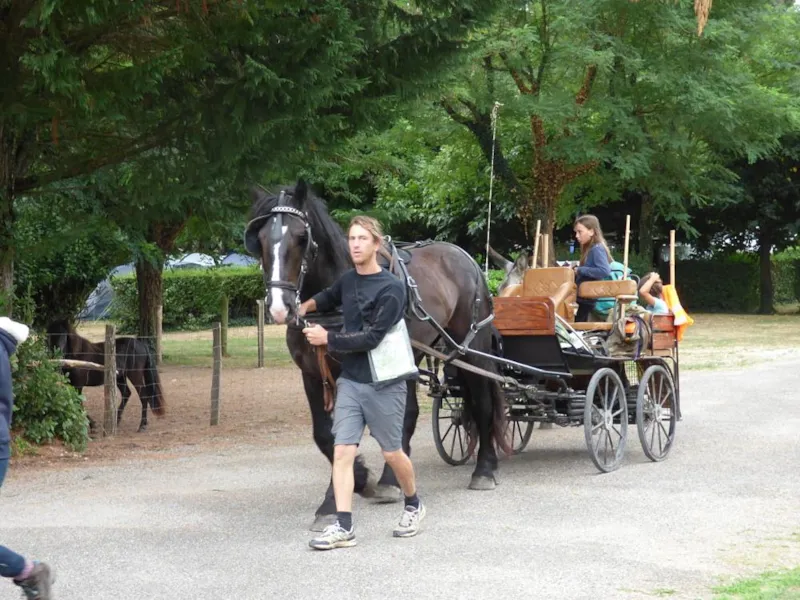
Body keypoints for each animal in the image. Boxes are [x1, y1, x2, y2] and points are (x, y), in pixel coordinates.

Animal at [244, 179, 512, 531]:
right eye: (261, 239)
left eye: (302, 237)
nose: (279, 307)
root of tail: (465, 258)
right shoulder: (311, 374)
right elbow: (325, 436)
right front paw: (349, 488)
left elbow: (342, 435)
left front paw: (346, 489)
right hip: (409, 357)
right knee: (409, 415)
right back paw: (391, 480)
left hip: (472, 349)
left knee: (482, 402)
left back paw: (484, 469)